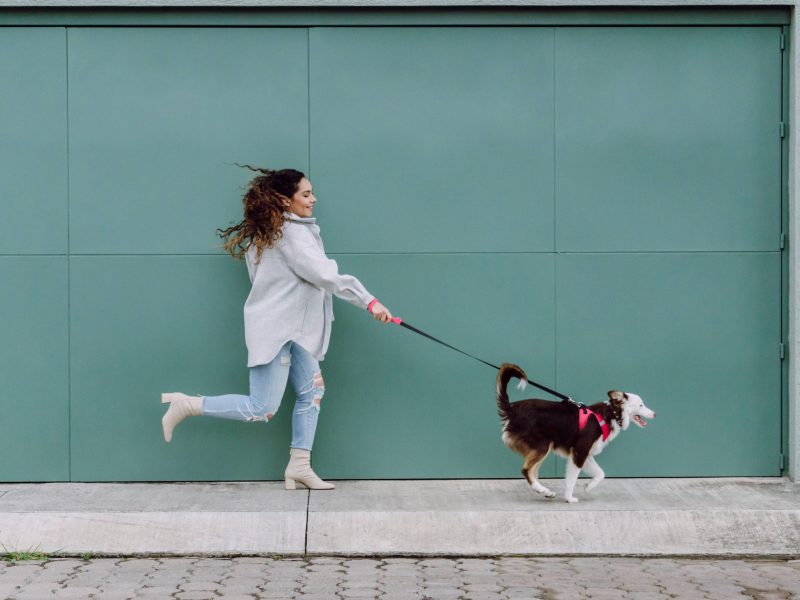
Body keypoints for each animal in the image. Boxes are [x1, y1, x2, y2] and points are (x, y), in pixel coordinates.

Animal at [494, 364, 656, 504]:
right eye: (641, 405)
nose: (654, 414)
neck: (610, 414)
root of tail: (512, 409)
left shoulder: (586, 453)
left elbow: (600, 473)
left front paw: (589, 486)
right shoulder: (579, 452)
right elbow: (572, 479)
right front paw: (569, 498)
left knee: (532, 471)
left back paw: (545, 491)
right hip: (542, 445)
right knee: (526, 470)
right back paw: (543, 490)